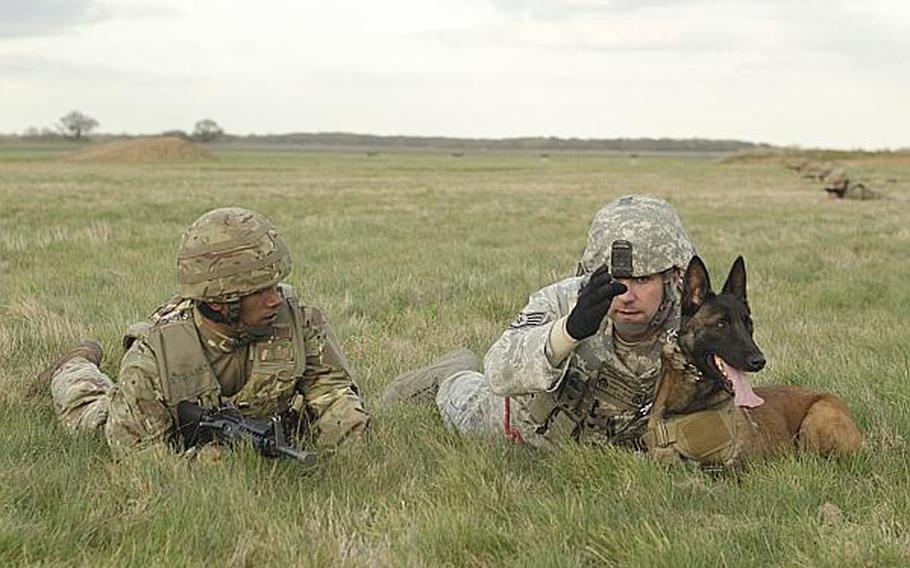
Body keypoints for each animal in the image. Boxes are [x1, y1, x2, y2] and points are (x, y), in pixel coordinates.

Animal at [644, 255, 864, 468]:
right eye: (721, 324)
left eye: (748, 324)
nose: (759, 361)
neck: (684, 408)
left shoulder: (734, 466)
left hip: (815, 420)